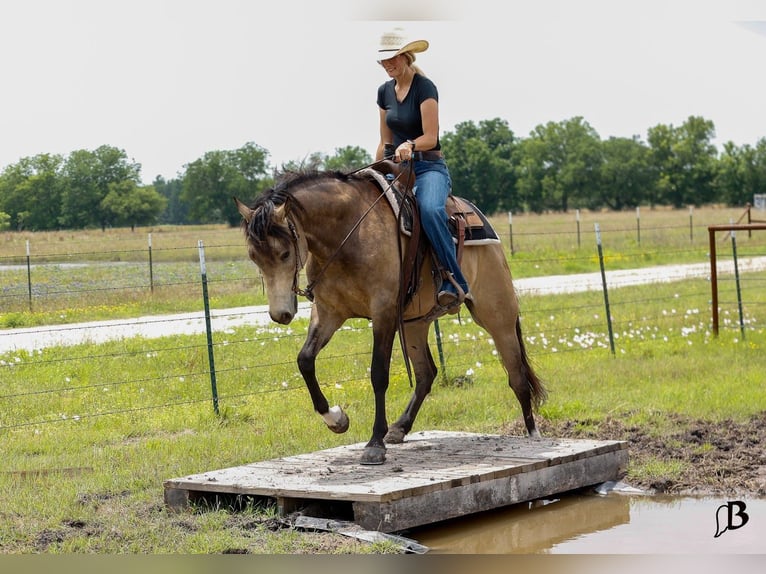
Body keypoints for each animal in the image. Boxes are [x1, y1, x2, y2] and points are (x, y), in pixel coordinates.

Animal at [235, 167, 546, 465]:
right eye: (253, 256)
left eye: (285, 253)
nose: (280, 314)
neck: (349, 234)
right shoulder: (328, 312)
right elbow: (305, 360)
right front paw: (337, 419)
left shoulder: (383, 312)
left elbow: (378, 374)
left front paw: (374, 444)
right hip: (414, 325)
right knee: (426, 373)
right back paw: (400, 427)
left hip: (497, 314)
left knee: (516, 373)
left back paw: (533, 434)